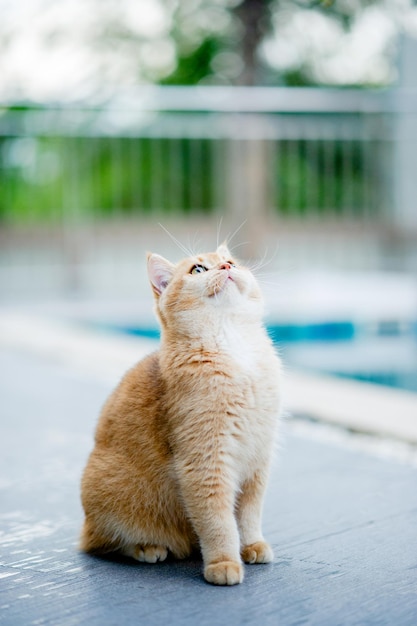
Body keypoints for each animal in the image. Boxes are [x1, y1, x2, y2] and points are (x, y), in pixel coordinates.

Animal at [79, 241, 282, 584]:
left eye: (230, 261)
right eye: (198, 269)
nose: (227, 268)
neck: (234, 346)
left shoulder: (258, 460)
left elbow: (249, 513)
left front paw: (252, 544)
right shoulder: (205, 462)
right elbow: (218, 521)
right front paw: (224, 563)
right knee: (103, 544)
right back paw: (147, 548)